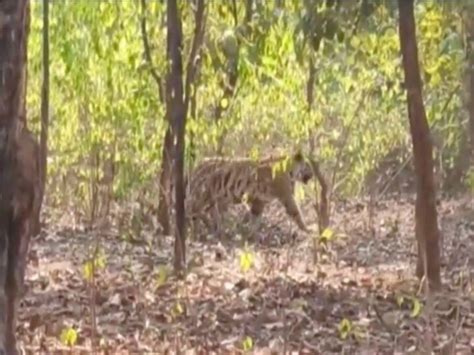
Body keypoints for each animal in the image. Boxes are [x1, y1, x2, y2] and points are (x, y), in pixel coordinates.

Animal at [185, 152, 314, 235]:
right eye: (308, 165)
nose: (313, 174)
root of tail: (199, 164)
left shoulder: (260, 201)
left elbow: (255, 218)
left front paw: (251, 233)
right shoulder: (286, 196)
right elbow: (296, 213)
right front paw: (307, 229)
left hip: (213, 199)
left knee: (208, 213)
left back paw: (215, 229)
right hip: (202, 196)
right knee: (192, 209)